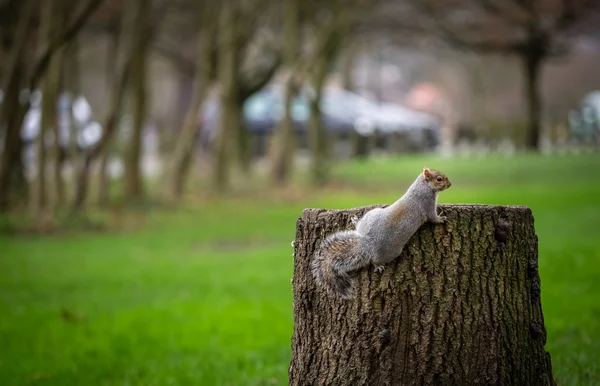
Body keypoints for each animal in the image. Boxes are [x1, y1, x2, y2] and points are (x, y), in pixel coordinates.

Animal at [310, 166, 450, 298]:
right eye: (439, 179)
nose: (450, 184)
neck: (421, 187)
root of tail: (366, 243)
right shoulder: (427, 204)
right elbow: (432, 217)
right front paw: (441, 219)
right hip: (391, 252)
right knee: (375, 260)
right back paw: (378, 266)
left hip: (370, 217)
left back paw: (355, 221)